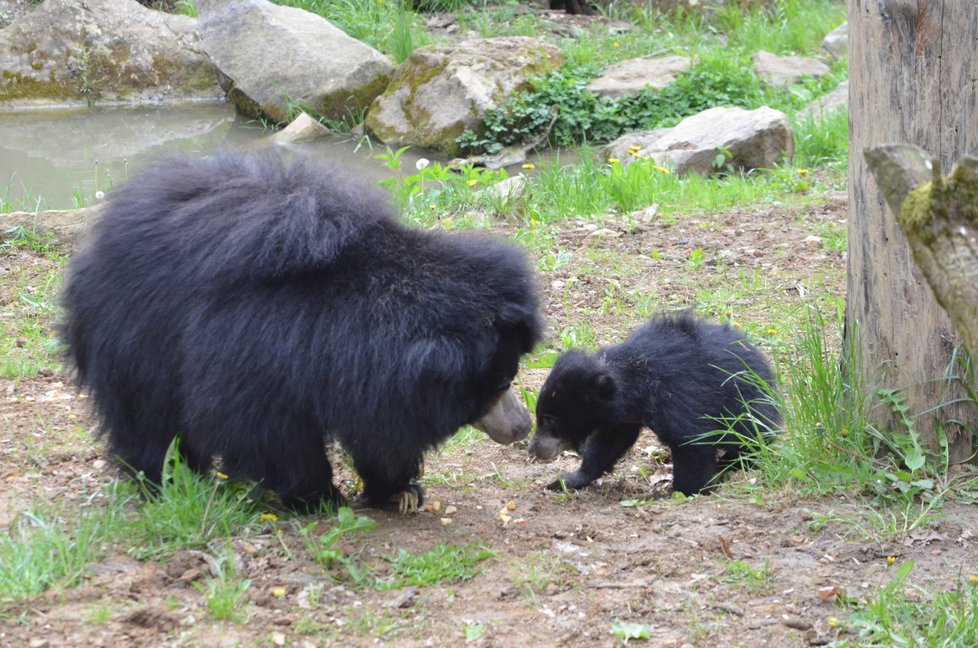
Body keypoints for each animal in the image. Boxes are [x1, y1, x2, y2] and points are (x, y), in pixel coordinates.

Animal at [63, 149, 540, 512]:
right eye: (499, 382)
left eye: (511, 375)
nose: (523, 426)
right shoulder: (256, 352)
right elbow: (263, 429)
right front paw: (319, 496)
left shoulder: (374, 382)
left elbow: (380, 430)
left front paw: (398, 491)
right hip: (134, 335)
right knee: (147, 417)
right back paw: (166, 481)